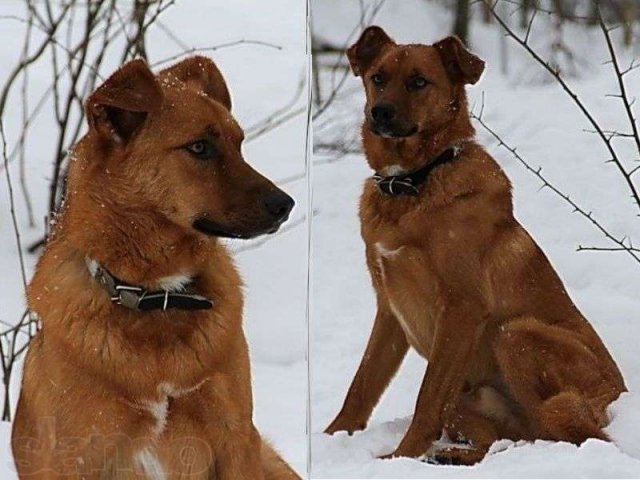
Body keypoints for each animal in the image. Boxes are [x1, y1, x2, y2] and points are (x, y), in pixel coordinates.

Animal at [10, 57, 300, 480]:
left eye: (239, 143)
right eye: (199, 147)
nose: (285, 205)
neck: (155, 295)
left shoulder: (235, 439)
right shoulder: (76, 455)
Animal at [324, 25, 624, 464]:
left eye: (419, 82)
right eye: (378, 77)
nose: (379, 112)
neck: (413, 182)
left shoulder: (462, 306)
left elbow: (426, 398)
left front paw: (402, 456)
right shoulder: (390, 311)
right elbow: (361, 387)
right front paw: (330, 439)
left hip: (515, 335)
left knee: (562, 431)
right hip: (468, 393)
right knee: (503, 437)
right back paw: (452, 454)